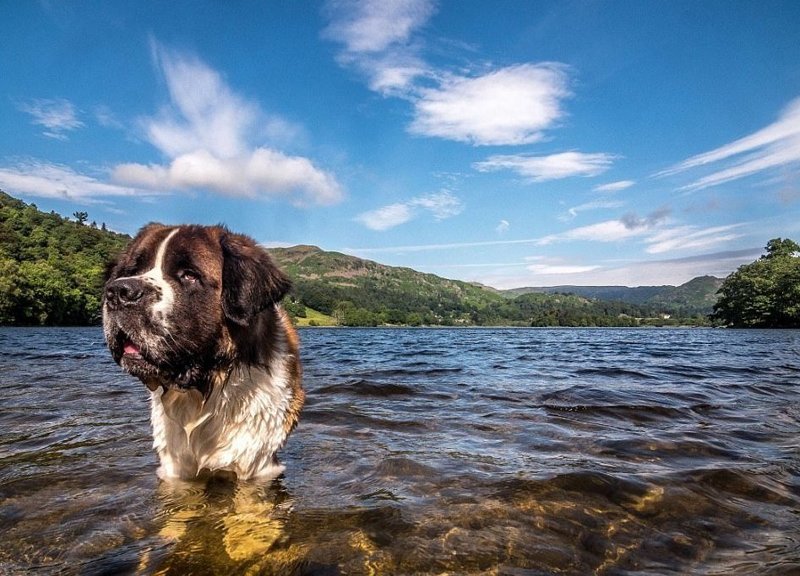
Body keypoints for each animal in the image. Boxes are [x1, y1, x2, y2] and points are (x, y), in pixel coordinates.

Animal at [103, 225, 304, 482]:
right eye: (134, 271)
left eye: (189, 275)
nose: (119, 291)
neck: (205, 389)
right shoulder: (175, 467)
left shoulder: (256, 461)